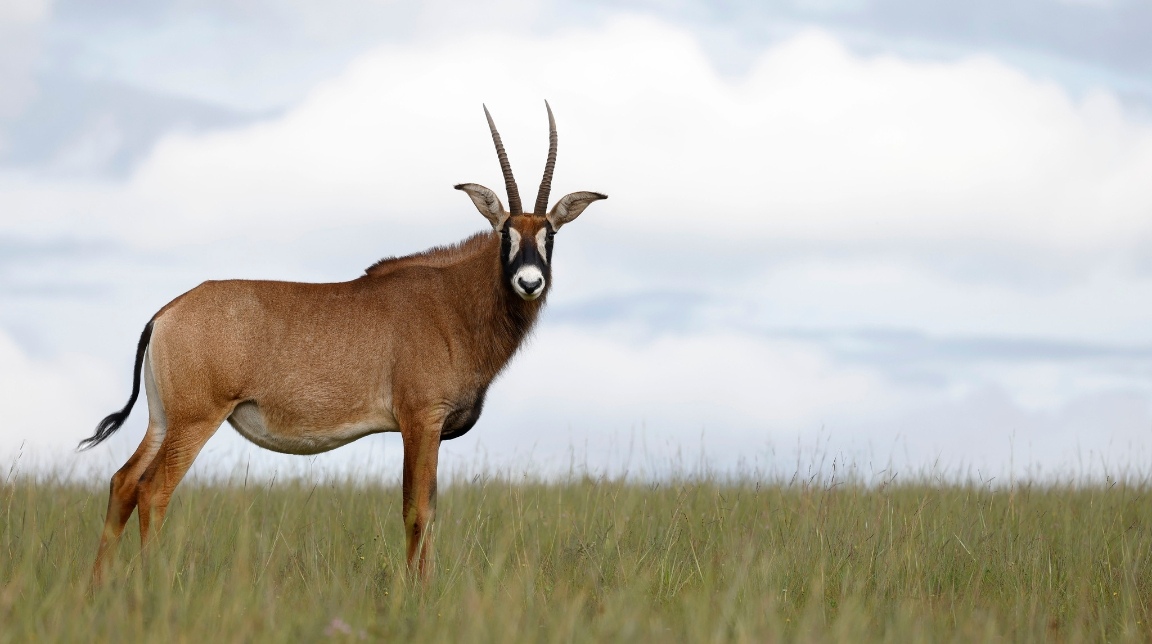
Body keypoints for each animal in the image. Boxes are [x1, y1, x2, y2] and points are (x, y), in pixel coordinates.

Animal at [80, 102, 606, 583]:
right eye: (505, 233)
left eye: (550, 233)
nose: (529, 281)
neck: (453, 301)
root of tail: (165, 313)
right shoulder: (420, 421)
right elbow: (418, 511)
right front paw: (418, 594)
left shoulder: (428, 429)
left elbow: (429, 511)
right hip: (194, 421)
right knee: (153, 491)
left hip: (162, 421)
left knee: (123, 483)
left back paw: (98, 588)